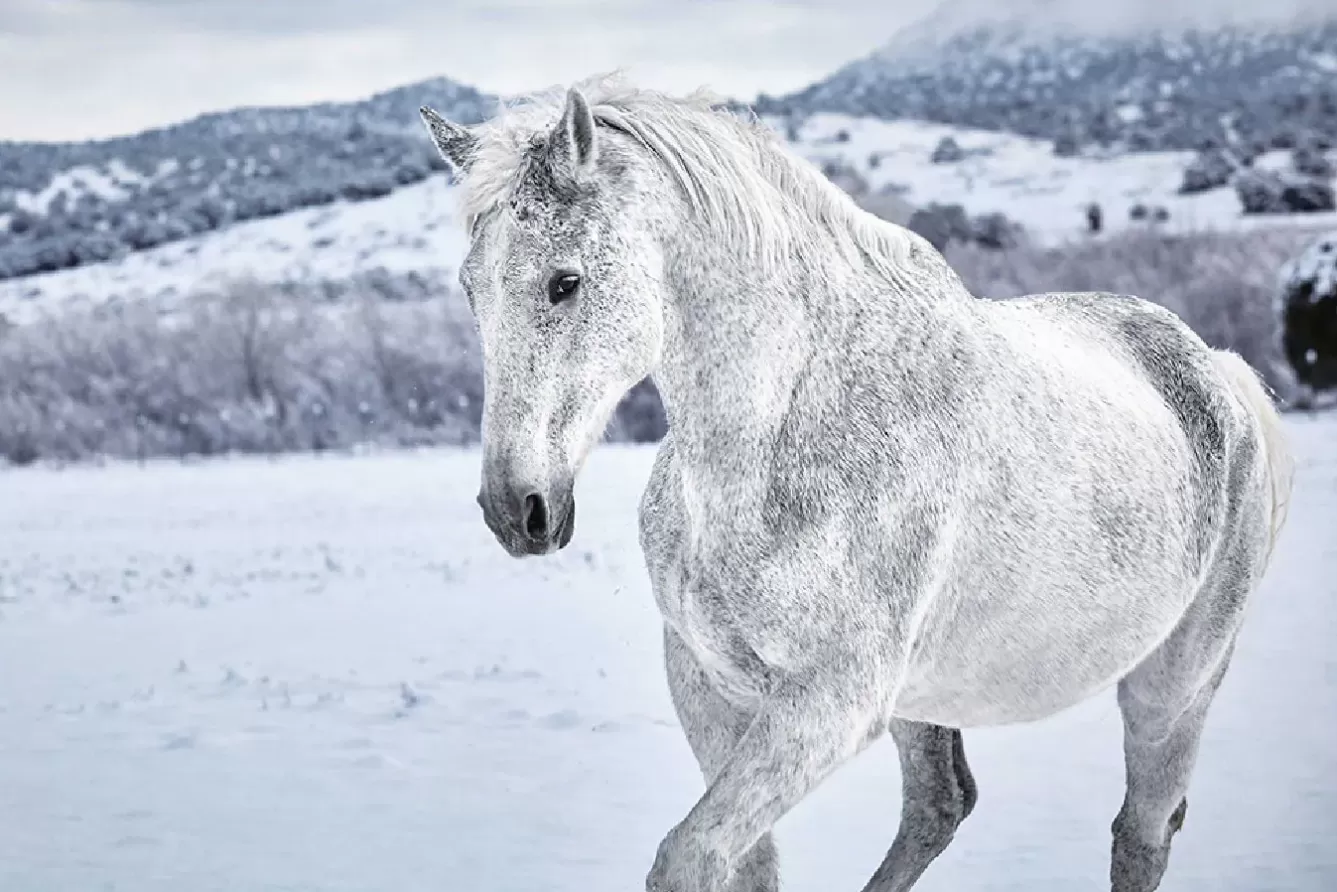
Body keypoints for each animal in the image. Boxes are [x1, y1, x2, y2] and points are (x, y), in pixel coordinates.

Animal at [419, 78, 1294, 892]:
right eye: (470, 289)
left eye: (563, 282)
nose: (517, 510)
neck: (778, 439)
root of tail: (1215, 368)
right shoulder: (709, 686)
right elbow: (745, 866)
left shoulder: (827, 706)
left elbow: (688, 857)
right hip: (925, 701)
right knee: (940, 804)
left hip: (1171, 688)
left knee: (1140, 830)